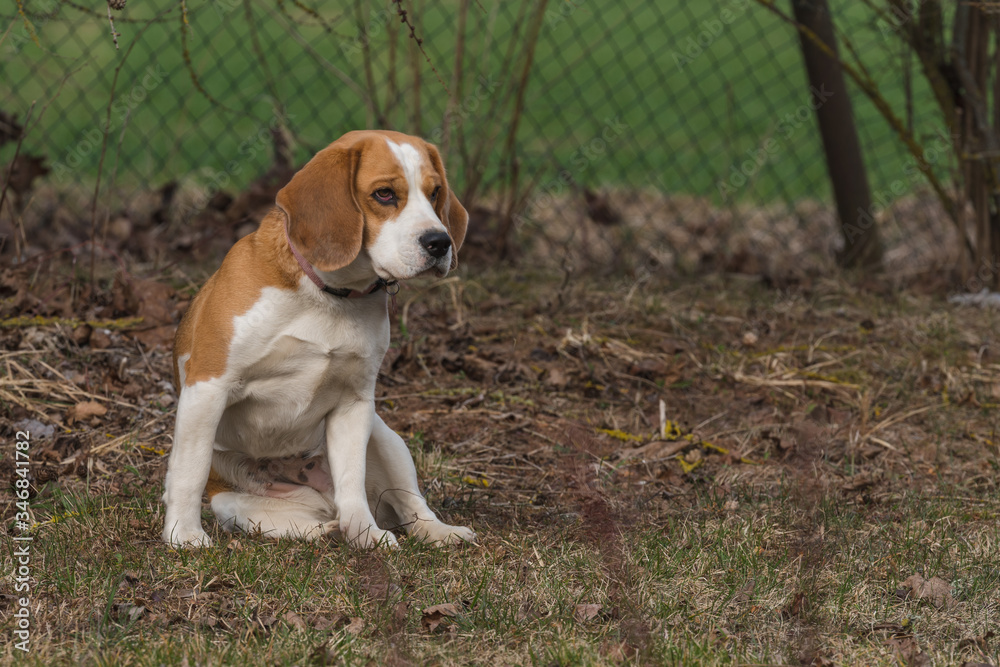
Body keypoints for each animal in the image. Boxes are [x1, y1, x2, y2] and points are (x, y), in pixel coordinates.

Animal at [162, 129, 474, 548]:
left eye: (435, 192)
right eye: (384, 194)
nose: (440, 242)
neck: (329, 295)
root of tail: (320, 501)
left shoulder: (354, 403)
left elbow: (352, 482)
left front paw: (365, 535)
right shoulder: (208, 386)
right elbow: (189, 470)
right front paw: (183, 534)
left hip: (386, 437)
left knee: (405, 505)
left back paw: (434, 531)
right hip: (229, 501)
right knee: (293, 519)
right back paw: (320, 529)